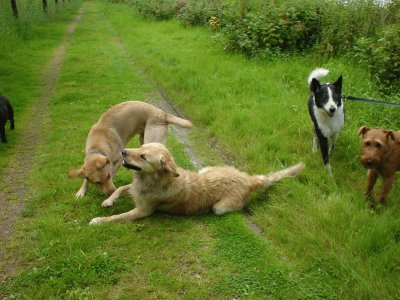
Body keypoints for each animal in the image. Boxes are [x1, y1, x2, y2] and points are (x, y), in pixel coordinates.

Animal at [89, 143, 304, 225]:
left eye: (143, 156)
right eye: (141, 146)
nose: (123, 151)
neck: (154, 180)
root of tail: (249, 179)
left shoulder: (143, 211)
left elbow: (118, 217)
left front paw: (99, 220)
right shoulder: (135, 189)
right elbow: (122, 188)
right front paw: (109, 201)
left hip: (220, 208)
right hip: (205, 170)